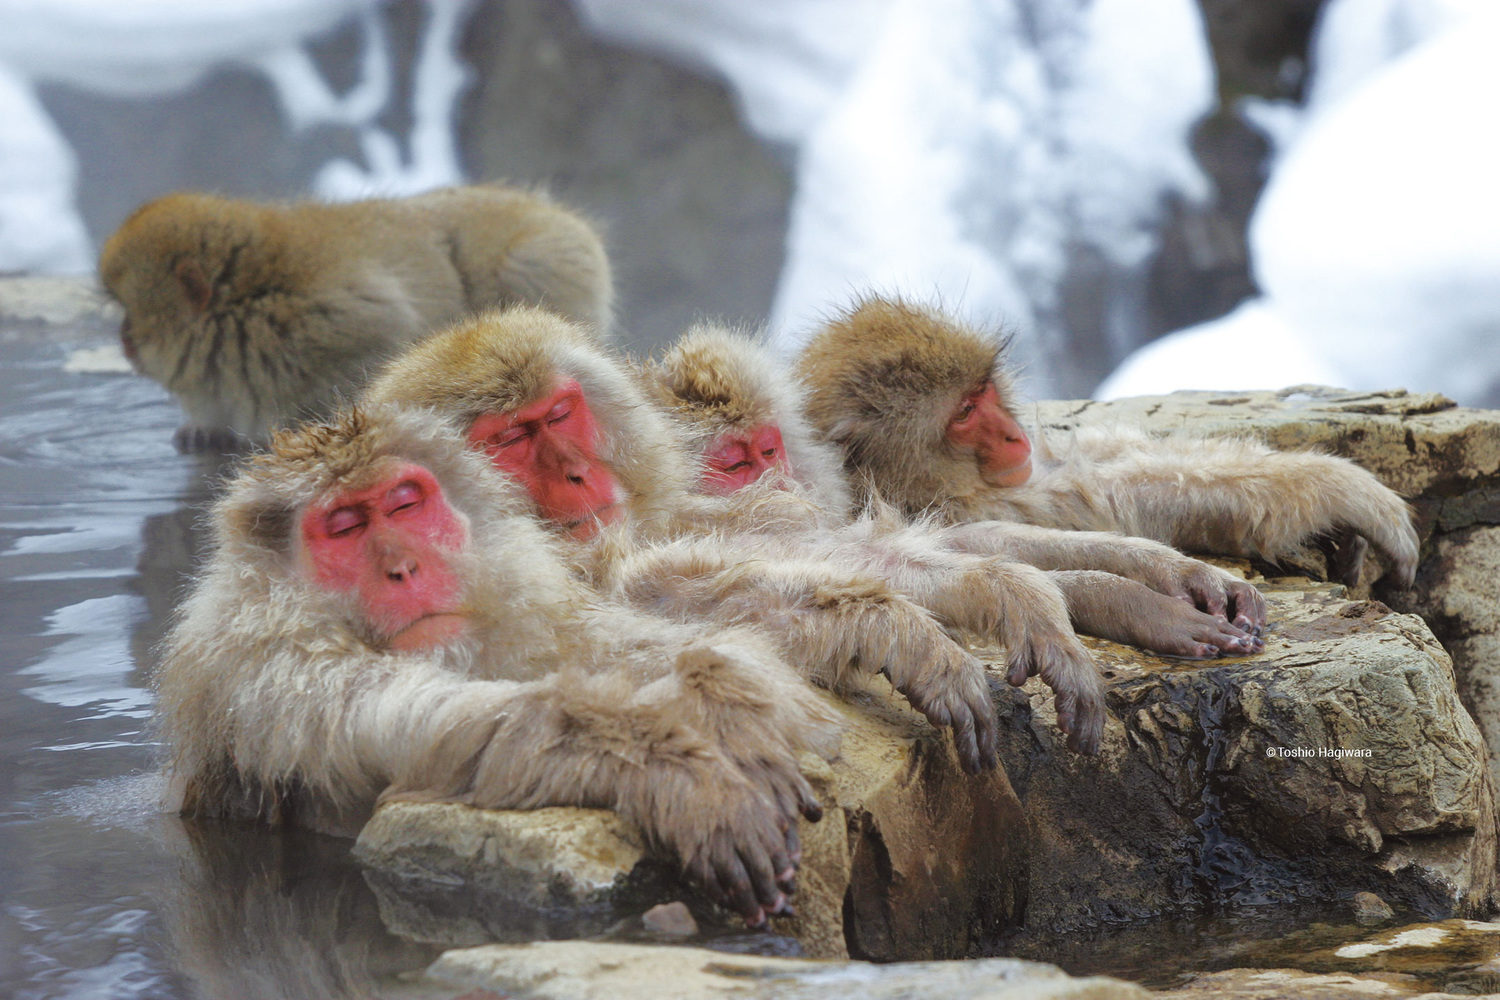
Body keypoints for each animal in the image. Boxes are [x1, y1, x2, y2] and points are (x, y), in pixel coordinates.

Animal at [99, 184, 613, 451]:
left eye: (130, 314)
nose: (122, 340)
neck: (247, 303)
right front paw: (205, 428)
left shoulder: (337, 318)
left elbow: (387, 340)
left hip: (547, 258)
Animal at [154, 404, 838, 926]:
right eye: (344, 527)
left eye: (404, 506)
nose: (404, 567)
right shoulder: (269, 670)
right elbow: (432, 728)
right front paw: (679, 774)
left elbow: (617, 645)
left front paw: (726, 700)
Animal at [645, 322, 1268, 663]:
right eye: (734, 465)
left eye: (768, 450)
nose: (782, 481)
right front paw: (1136, 606)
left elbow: (962, 542)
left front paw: (1161, 574)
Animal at [794, 296, 1421, 591]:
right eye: (965, 414)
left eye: (982, 391)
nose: (1011, 433)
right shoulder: (961, 506)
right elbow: (1112, 497)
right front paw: (1337, 485)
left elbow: (1087, 456)